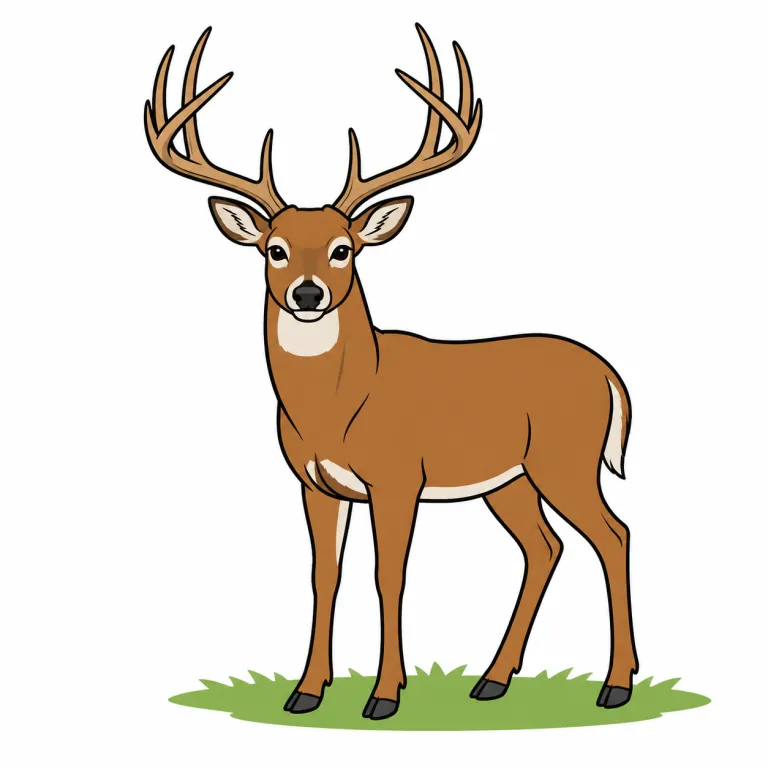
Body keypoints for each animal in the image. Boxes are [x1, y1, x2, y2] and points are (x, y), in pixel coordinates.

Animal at [145, 25, 639, 721]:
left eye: (342, 249)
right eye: (275, 249)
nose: (307, 294)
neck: (339, 406)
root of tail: (608, 374)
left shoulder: (399, 476)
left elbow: (390, 574)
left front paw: (383, 695)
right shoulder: (316, 483)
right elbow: (325, 574)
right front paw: (307, 691)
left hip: (565, 458)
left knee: (613, 535)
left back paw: (615, 685)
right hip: (507, 480)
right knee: (545, 547)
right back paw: (493, 680)